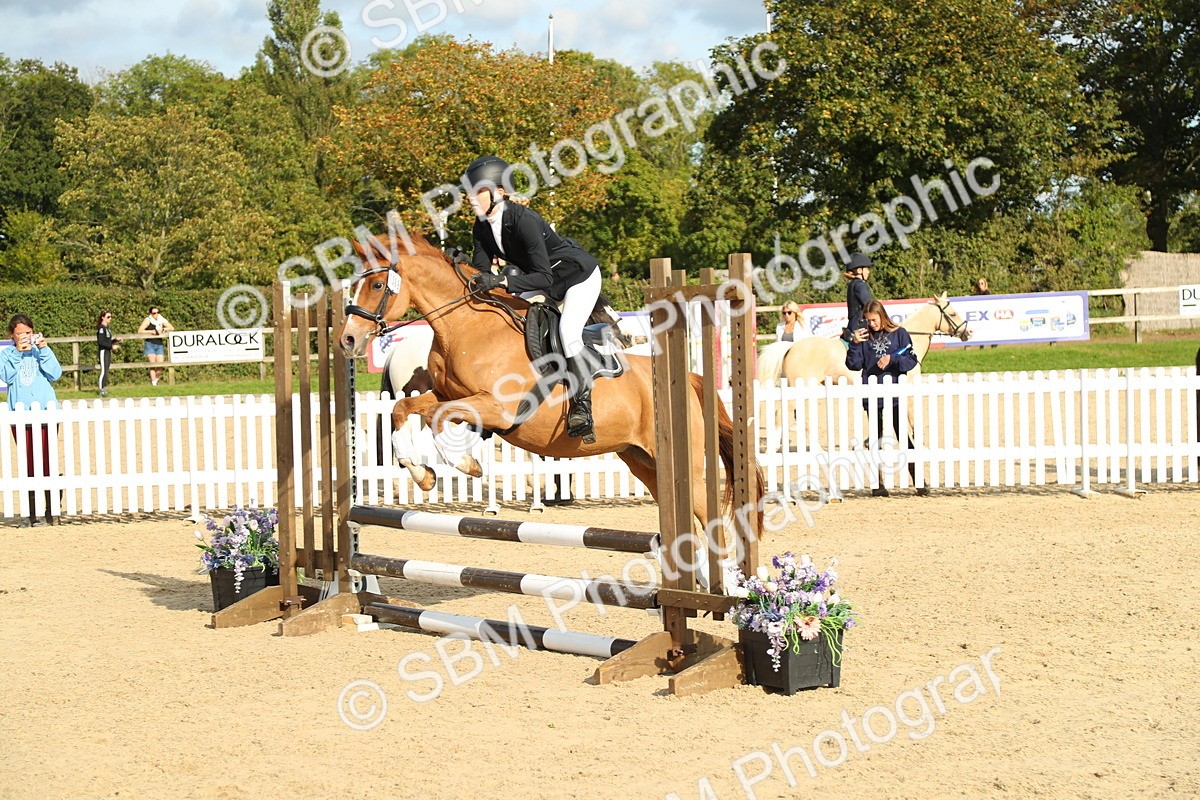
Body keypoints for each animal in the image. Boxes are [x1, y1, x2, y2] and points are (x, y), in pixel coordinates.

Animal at [338, 234, 764, 537]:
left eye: (377, 286)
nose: (347, 340)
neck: (468, 326)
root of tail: (689, 379)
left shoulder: (496, 407)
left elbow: (440, 420)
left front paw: (465, 464)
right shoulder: (448, 396)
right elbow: (404, 410)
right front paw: (422, 473)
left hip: (681, 463)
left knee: (708, 518)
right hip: (643, 460)